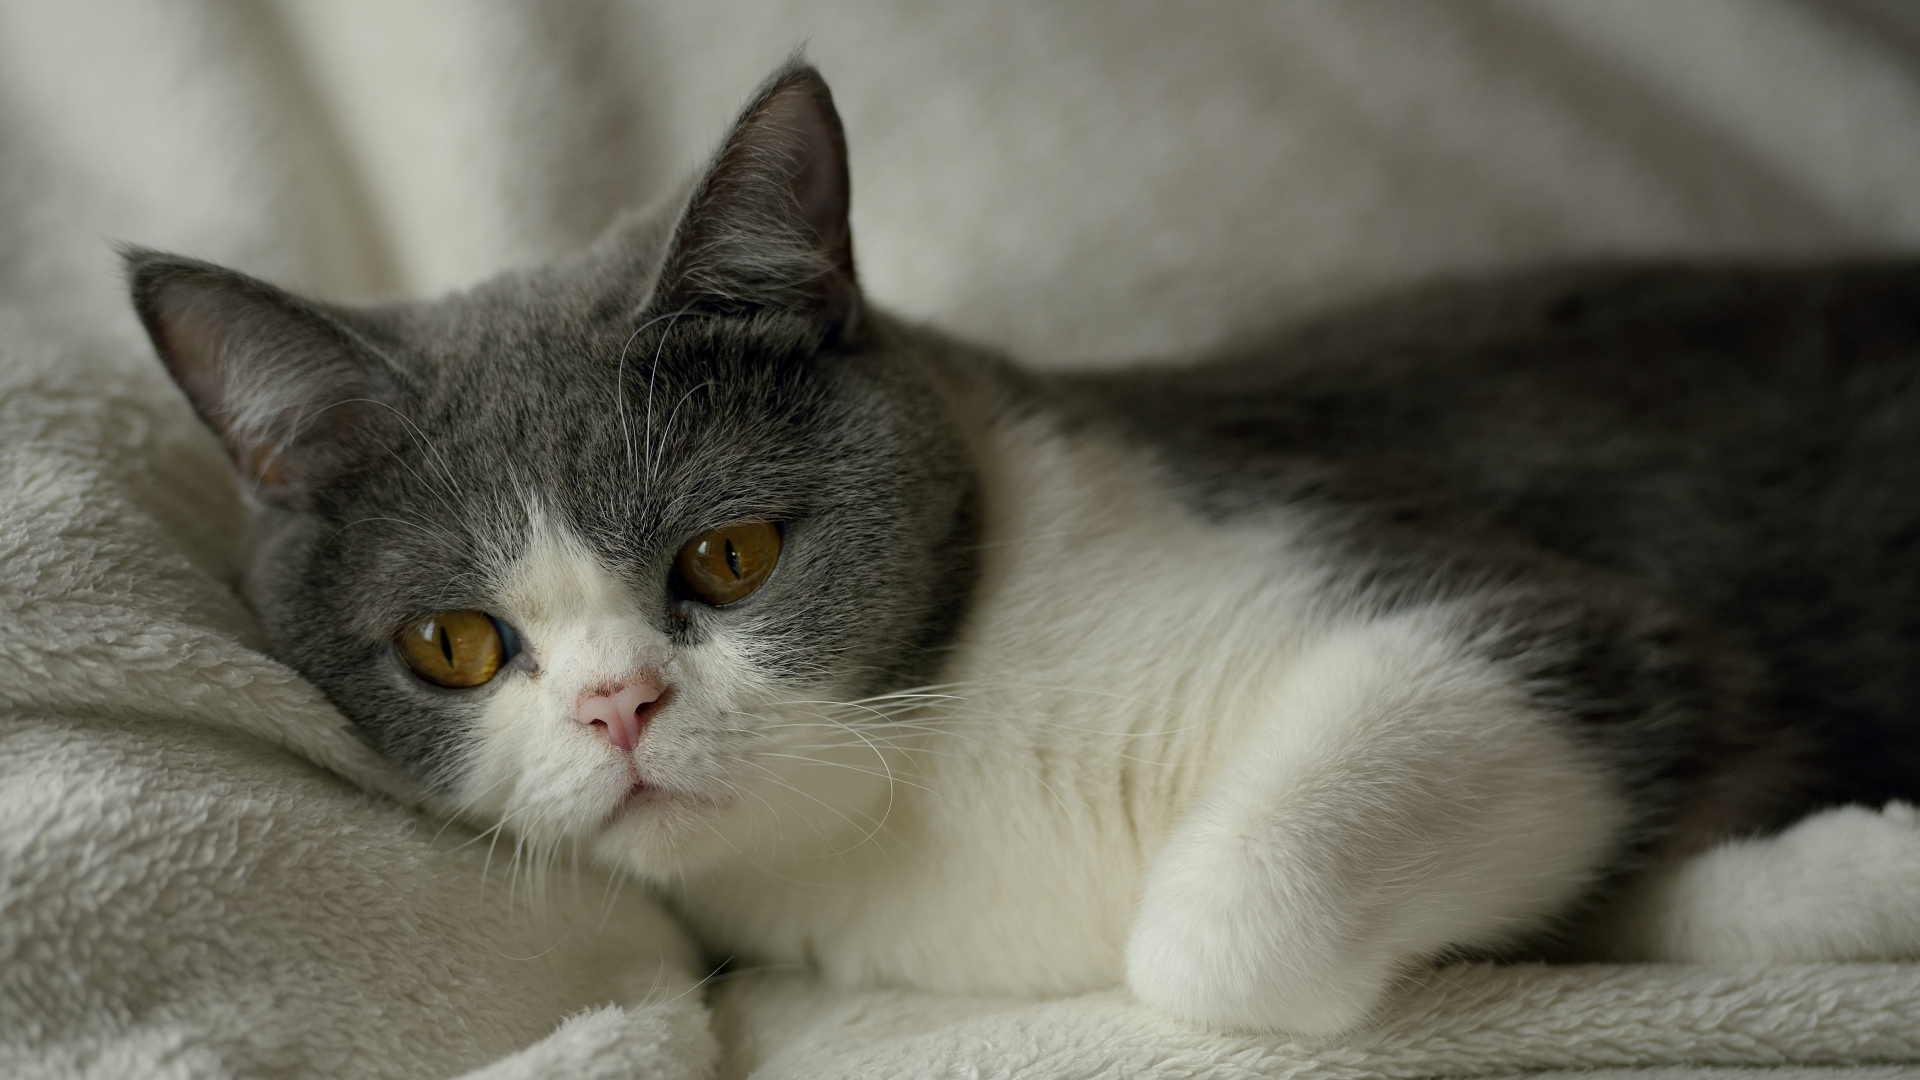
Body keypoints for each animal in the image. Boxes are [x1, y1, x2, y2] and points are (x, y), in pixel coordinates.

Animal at [123, 61, 1920, 1037]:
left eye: (730, 557)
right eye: (455, 644)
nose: (619, 709)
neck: (933, 784)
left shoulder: (1543, 607)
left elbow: (1218, 922)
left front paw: (1861, 864)